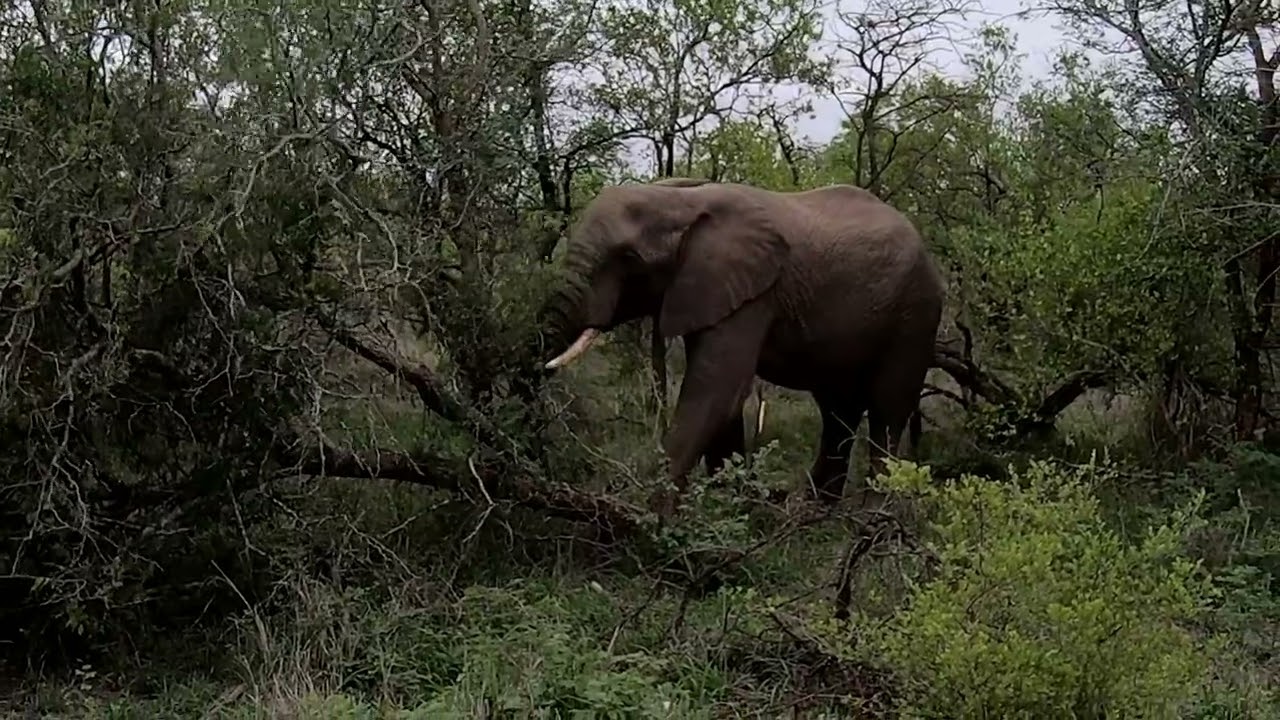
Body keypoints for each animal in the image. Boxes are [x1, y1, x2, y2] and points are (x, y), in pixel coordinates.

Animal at [539, 178, 944, 513]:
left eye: (628, 258)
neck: (679, 199)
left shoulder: (753, 294)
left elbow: (715, 391)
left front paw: (649, 518)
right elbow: (721, 399)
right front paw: (726, 510)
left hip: (915, 312)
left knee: (888, 409)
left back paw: (871, 519)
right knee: (837, 410)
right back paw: (813, 514)